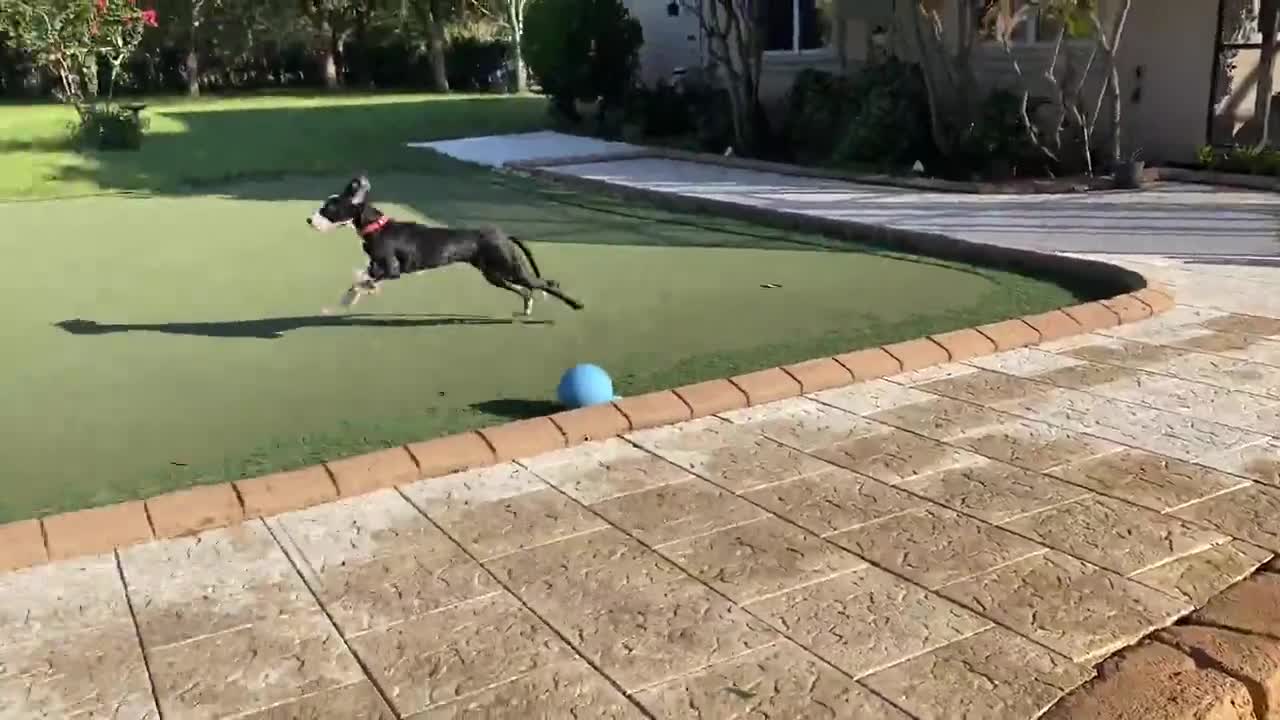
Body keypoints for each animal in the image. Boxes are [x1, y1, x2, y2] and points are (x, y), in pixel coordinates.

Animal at [307, 172, 586, 313]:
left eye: (328, 209)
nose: (309, 220)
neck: (377, 226)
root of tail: (503, 235)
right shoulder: (378, 266)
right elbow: (362, 279)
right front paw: (350, 298)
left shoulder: (392, 269)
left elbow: (363, 280)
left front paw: (352, 297)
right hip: (494, 274)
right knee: (525, 289)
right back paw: (528, 306)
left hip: (510, 268)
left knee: (547, 283)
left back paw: (576, 304)